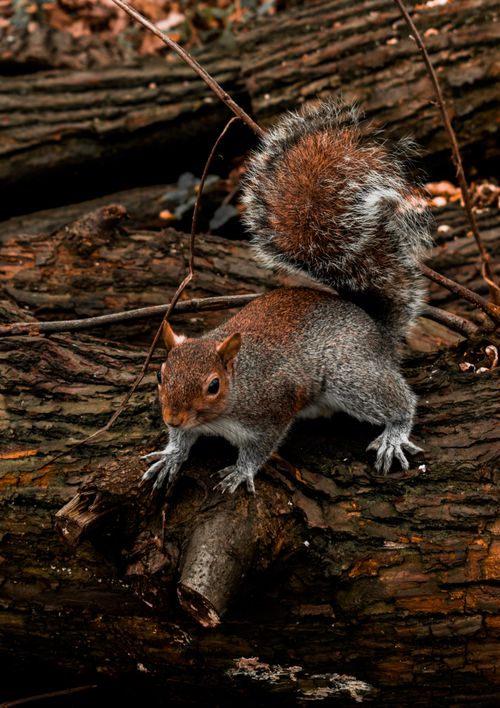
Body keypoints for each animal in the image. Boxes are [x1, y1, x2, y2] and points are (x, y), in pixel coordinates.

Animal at [142, 99, 432, 494]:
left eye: (213, 385)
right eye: (160, 374)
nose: (172, 417)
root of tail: (376, 327)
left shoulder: (272, 409)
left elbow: (260, 448)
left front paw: (241, 471)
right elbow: (184, 440)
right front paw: (171, 454)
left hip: (349, 375)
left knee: (398, 400)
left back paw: (395, 433)